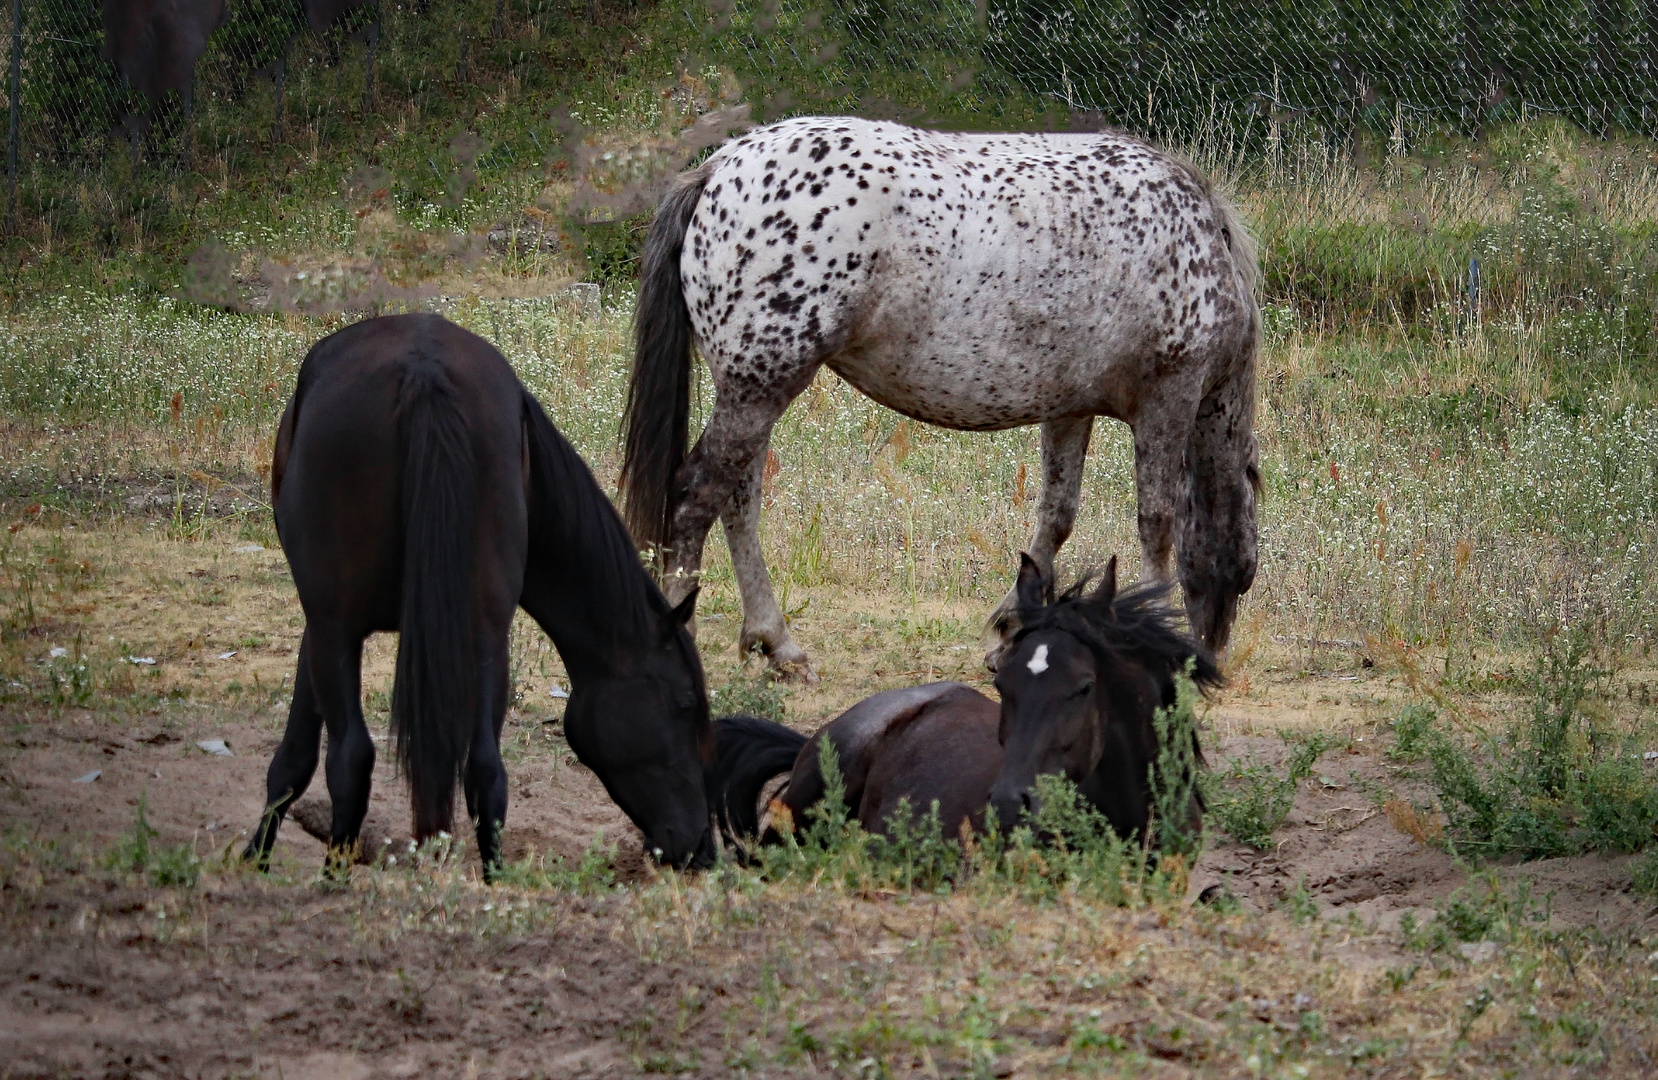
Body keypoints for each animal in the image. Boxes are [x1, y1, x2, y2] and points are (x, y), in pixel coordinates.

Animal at [243, 311, 712, 875]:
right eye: (685, 704)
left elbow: (295, 756)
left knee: (352, 757)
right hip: (484, 627)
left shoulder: (322, 626)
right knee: (487, 770)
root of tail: (425, 371)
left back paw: (334, 880)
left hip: (340, 626)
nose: (703, 846)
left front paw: (254, 857)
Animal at [623, 114, 1253, 680]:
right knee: (696, 496)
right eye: (1245, 574)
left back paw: (776, 643)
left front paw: (1011, 630)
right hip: (759, 389)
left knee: (737, 503)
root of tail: (719, 169)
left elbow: (1056, 517)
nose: (1213, 657)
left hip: (756, 392)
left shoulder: (1069, 410)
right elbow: (1157, 524)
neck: (1197, 245)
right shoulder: (1168, 400)